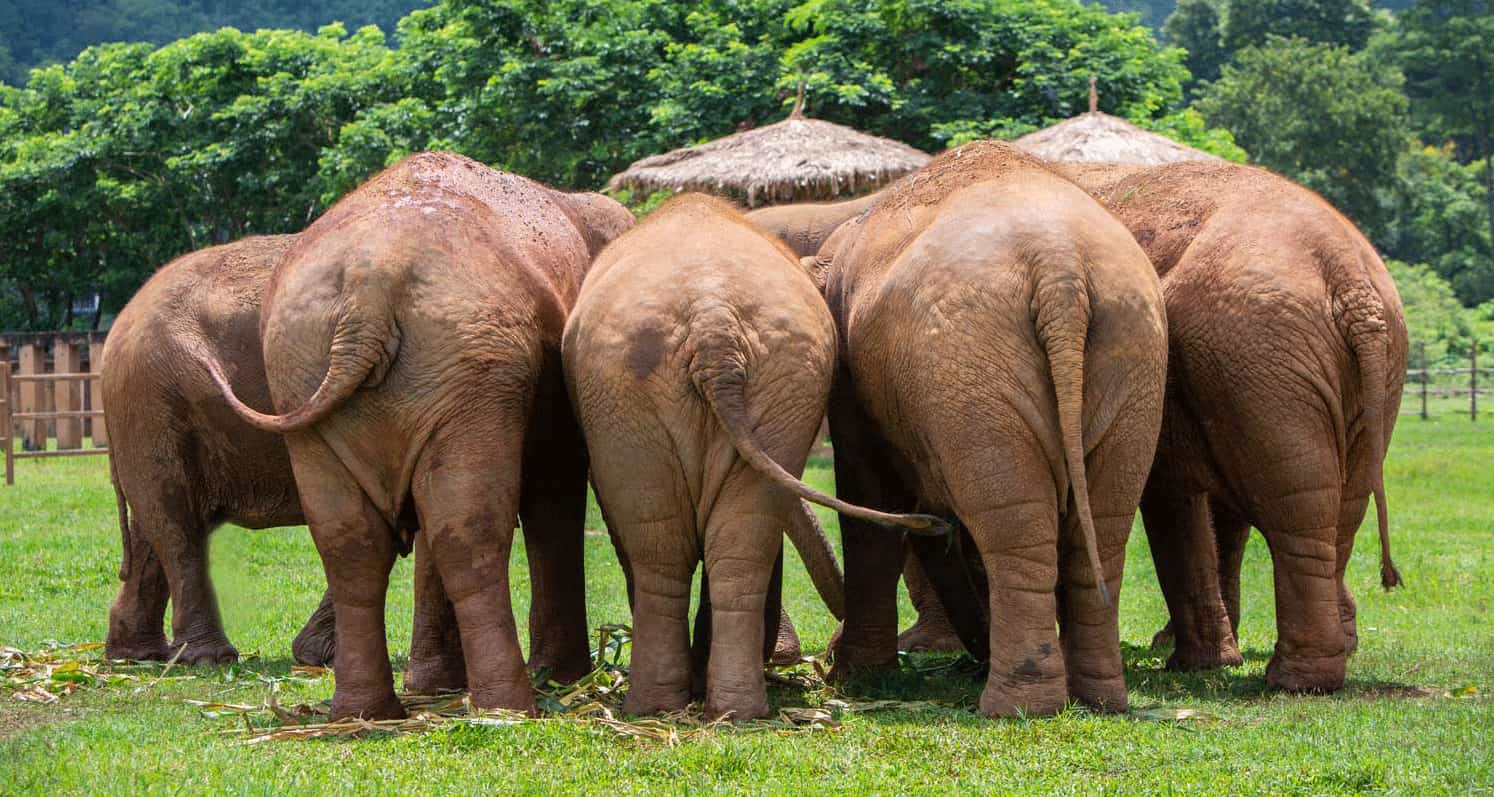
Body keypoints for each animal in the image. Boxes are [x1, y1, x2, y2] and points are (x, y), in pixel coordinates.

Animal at [102, 235, 341, 666]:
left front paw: (315, 657)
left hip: (146, 405)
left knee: (153, 524)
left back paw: (136, 657)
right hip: (153, 398)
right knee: (175, 522)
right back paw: (208, 658)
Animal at [212, 151, 635, 720]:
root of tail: (369, 288)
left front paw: (437, 686)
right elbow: (554, 489)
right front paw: (558, 677)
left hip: (314, 373)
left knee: (354, 541)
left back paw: (365, 714)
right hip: (462, 372)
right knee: (470, 529)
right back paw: (509, 707)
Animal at [562, 194, 943, 720]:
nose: (828, 650)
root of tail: (712, 324)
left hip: (664, 387)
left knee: (678, 543)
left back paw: (677, 707)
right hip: (713, 382)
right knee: (722, 540)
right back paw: (718, 709)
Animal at [816, 141, 1168, 716]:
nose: (974, 653)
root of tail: (1059, 266)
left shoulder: (853, 386)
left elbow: (873, 504)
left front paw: (854, 675)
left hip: (975, 363)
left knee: (1014, 526)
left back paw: (1016, 706)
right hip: (1131, 356)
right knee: (1102, 523)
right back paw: (1098, 699)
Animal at [1057, 160, 1407, 692]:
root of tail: (1346, 273)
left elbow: (1174, 496)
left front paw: (1196, 661)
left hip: (1262, 353)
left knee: (1297, 505)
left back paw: (1293, 679)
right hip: (1324, 369)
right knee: (1335, 506)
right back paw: (1324, 661)